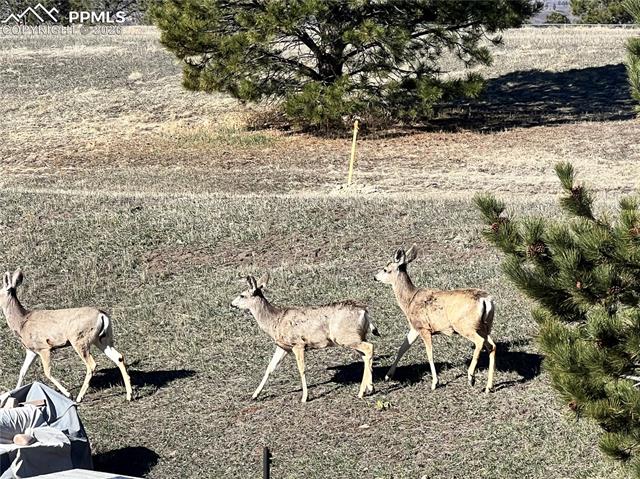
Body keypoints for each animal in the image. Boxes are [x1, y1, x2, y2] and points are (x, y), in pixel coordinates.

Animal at [0, 269, 133, 402]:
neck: (22, 322)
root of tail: (102, 315)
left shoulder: (44, 347)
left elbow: (47, 371)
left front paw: (68, 394)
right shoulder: (31, 350)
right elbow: (23, 371)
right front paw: (12, 394)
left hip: (79, 340)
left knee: (92, 364)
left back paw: (79, 397)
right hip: (102, 339)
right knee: (118, 357)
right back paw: (129, 395)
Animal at [231, 273, 379, 403]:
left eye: (242, 295)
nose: (232, 304)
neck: (275, 321)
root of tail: (364, 311)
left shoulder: (298, 344)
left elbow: (301, 369)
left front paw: (304, 397)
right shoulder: (283, 346)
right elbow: (270, 367)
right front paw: (255, 395)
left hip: (346, 337)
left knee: (369, 347)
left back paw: (361, 392)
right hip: (356, 336)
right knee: (366, 355)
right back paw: (369, 388)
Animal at [374, 245, 496, 393]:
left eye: (385, 269)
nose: (375, 277)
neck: (409, 301)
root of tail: (486, 300)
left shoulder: (424, 328)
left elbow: (429, 354)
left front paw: (434, 383)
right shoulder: (415, 327)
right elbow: (403, 347)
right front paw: (388, 376)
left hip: (465, 325)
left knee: (480, 342)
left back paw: (471, 377)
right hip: (485, 326)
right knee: (492, 346)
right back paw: (488, 386)